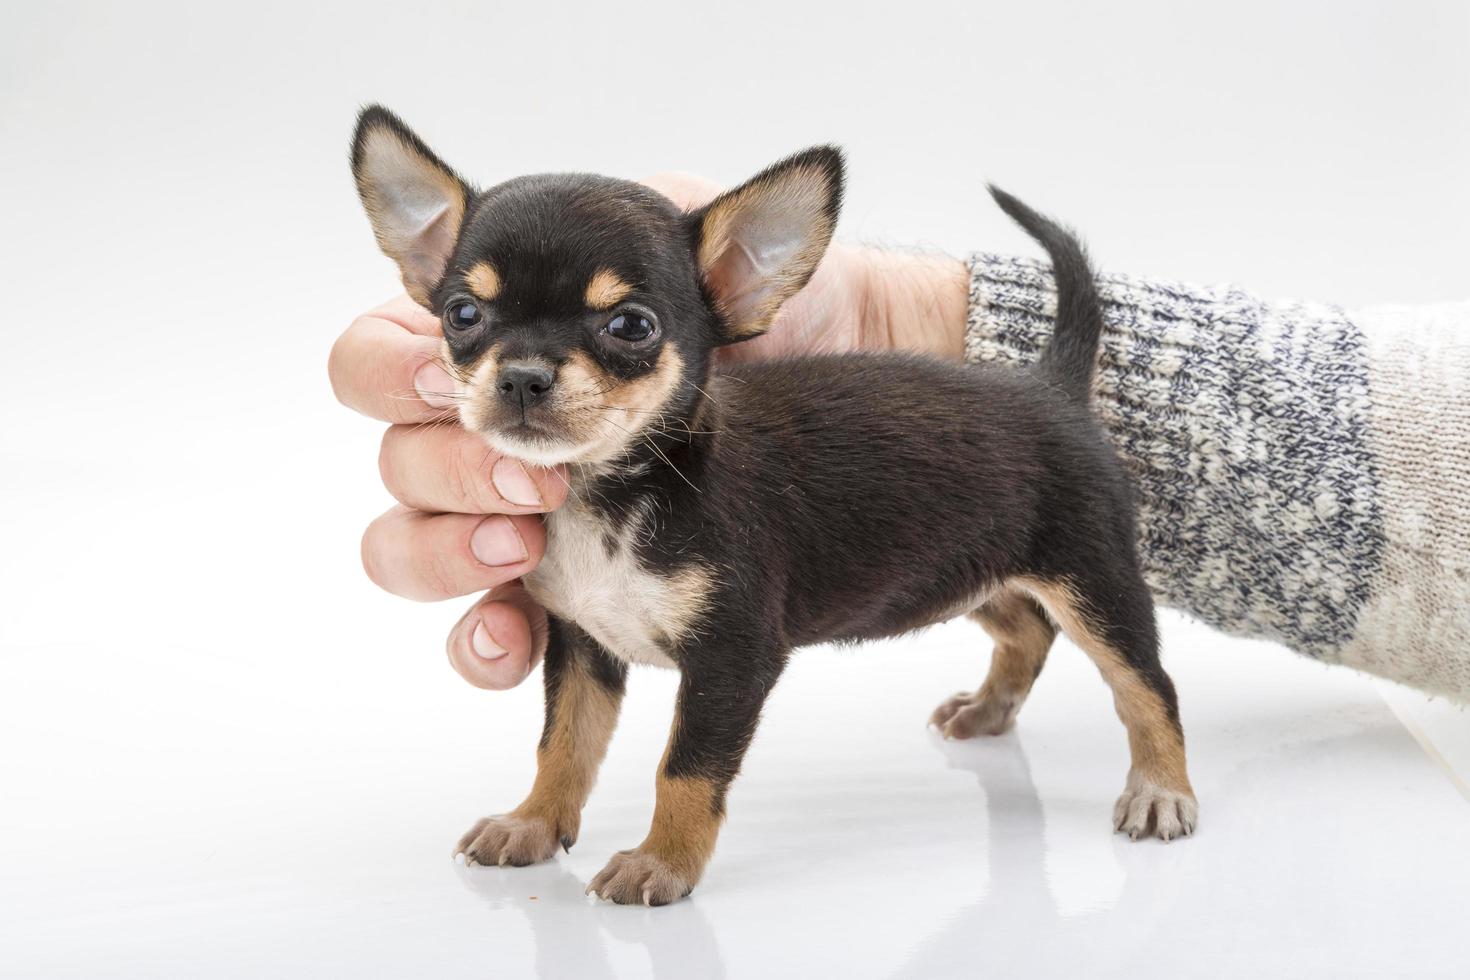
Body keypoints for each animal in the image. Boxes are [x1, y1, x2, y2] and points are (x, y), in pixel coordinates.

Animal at [352, 105, 1193, 905]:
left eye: (631, 325)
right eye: (463, 314)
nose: (523, 375)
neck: (615, 490)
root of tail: (1053, 384)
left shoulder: (732, 658)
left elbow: (685, 767)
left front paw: (662, 862)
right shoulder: (581, 645)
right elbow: (563, 744)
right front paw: (531, 822)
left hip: (1092, 579)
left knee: (1146, 682)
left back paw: (1161, 790)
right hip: (964, 572)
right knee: (1027, 633)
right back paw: (989, 711)